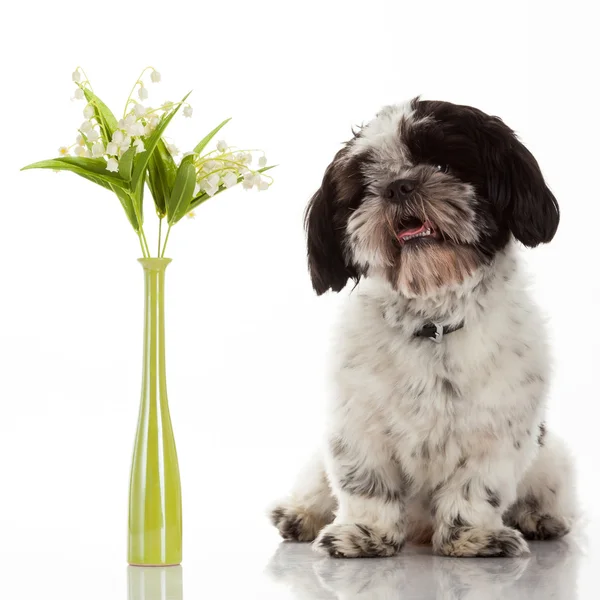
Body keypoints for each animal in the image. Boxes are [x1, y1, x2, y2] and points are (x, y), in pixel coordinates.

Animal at [270, 97, 576, 556]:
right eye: (366, 184)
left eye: (443, 163)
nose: (398, 186)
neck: (432, 323)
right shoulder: (356, 425)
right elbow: (366, 484)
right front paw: (364, 534)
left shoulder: (498, 433)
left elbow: (476, 489)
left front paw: (473, 537)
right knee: (316, 487)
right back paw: (299, 514)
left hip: (551, 456)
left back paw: (540, 518)